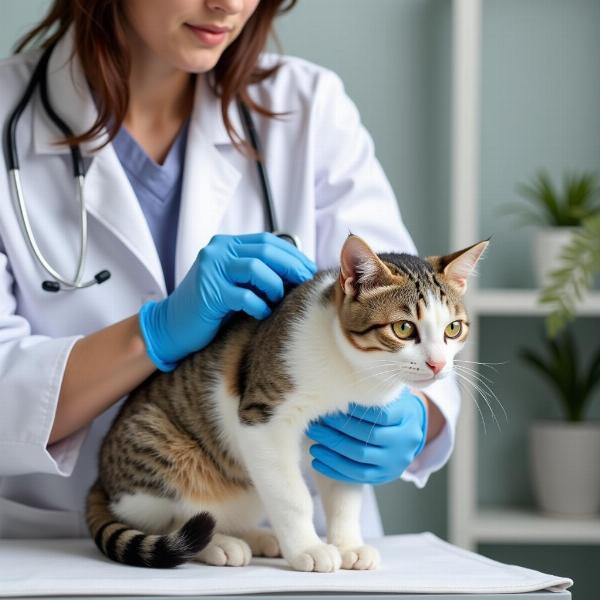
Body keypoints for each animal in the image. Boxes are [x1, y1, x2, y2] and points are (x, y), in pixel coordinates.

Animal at [84, 231, 488, 572]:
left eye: (453, 329)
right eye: (404, 328)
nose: (438, 364)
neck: (350, 374)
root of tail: (101, 480)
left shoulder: (349, 435)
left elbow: (344, 489)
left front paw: (346, 544)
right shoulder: (263, 420)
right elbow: (292, 495)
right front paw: (309, 548)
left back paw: (259, 537)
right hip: (158, 444)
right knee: (181, 516)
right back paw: (219, 544)